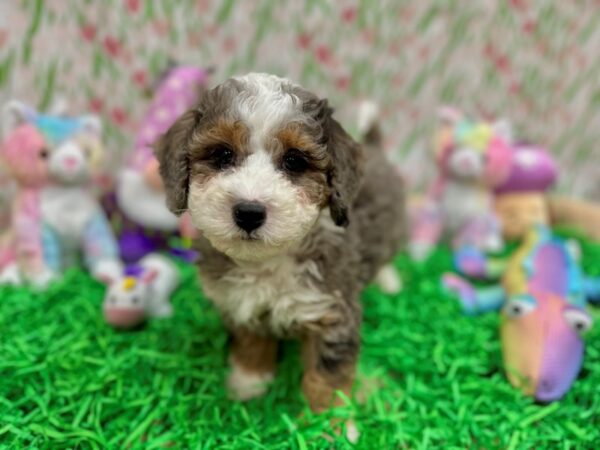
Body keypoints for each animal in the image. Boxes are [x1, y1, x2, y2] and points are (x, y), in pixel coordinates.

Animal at [156, 74, 408, 422]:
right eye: (222, 155)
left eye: (294, 161)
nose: (249, 212)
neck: (269, 263)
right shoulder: (241, 302)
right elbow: (250, 343)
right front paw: (248, 384)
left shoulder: (333, 314)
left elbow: (328, 376)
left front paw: (328, 424)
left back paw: (389, 281)